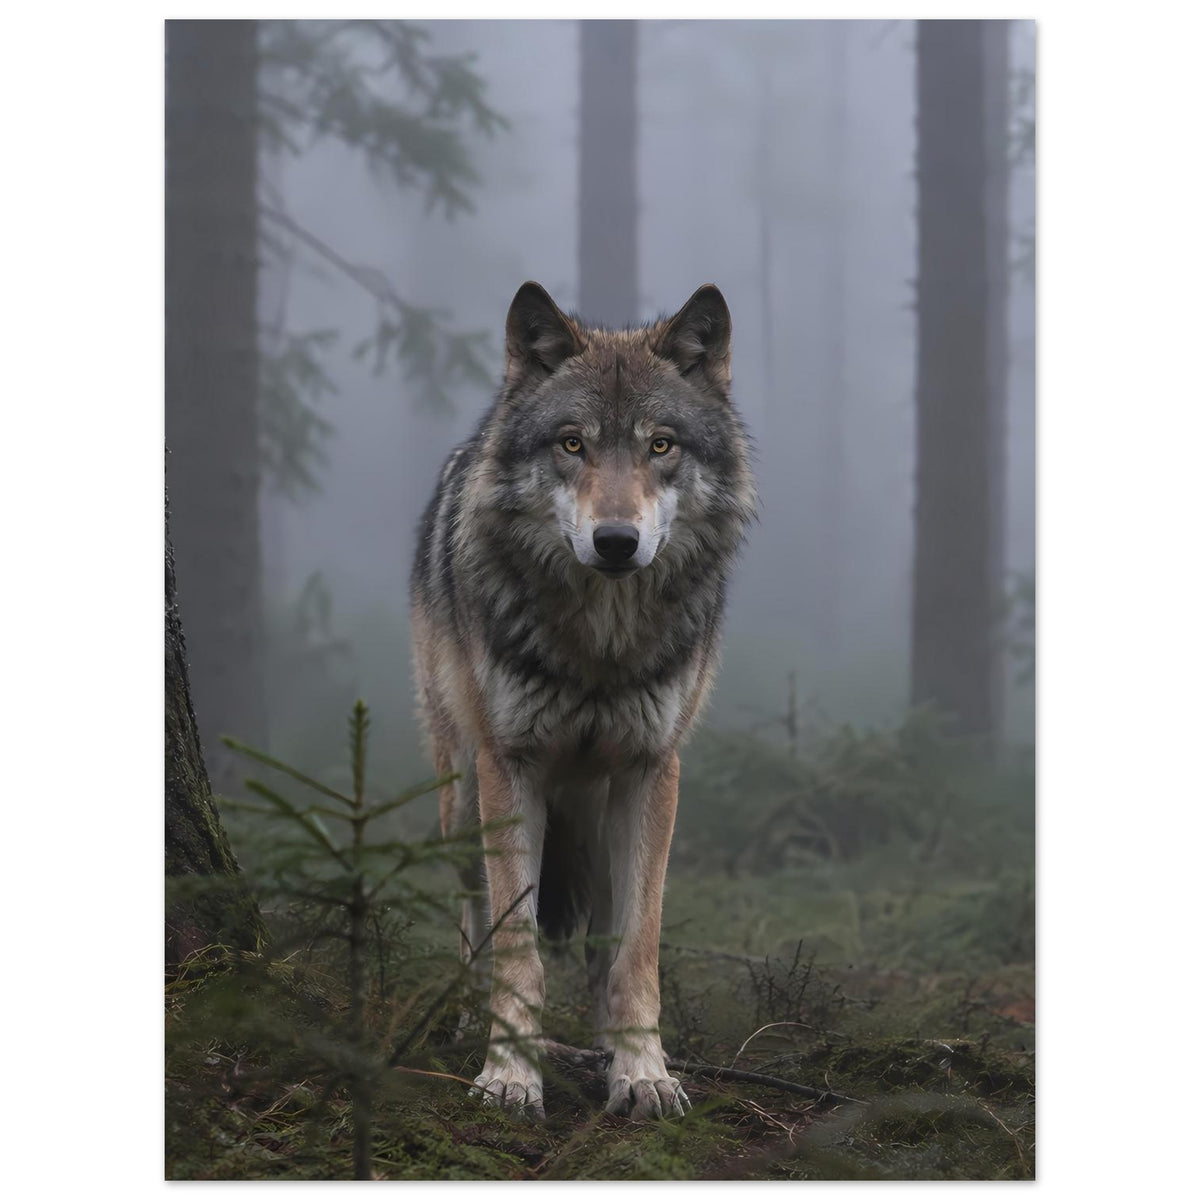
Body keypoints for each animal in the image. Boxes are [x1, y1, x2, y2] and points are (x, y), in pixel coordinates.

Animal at [410, 281, 755, 1121]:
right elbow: (517, 949)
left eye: (661, 445)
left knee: (602, 939)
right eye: (572, 445)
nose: (616, 542)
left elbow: (637, 952)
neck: (600, 644)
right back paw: (463, 1020)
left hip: (597, 818)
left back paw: (605, 1048)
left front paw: (643, 1072)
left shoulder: (651, 771)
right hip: (462, 798)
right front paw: (509, 1075)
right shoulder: (511, 767)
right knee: (472, 919)